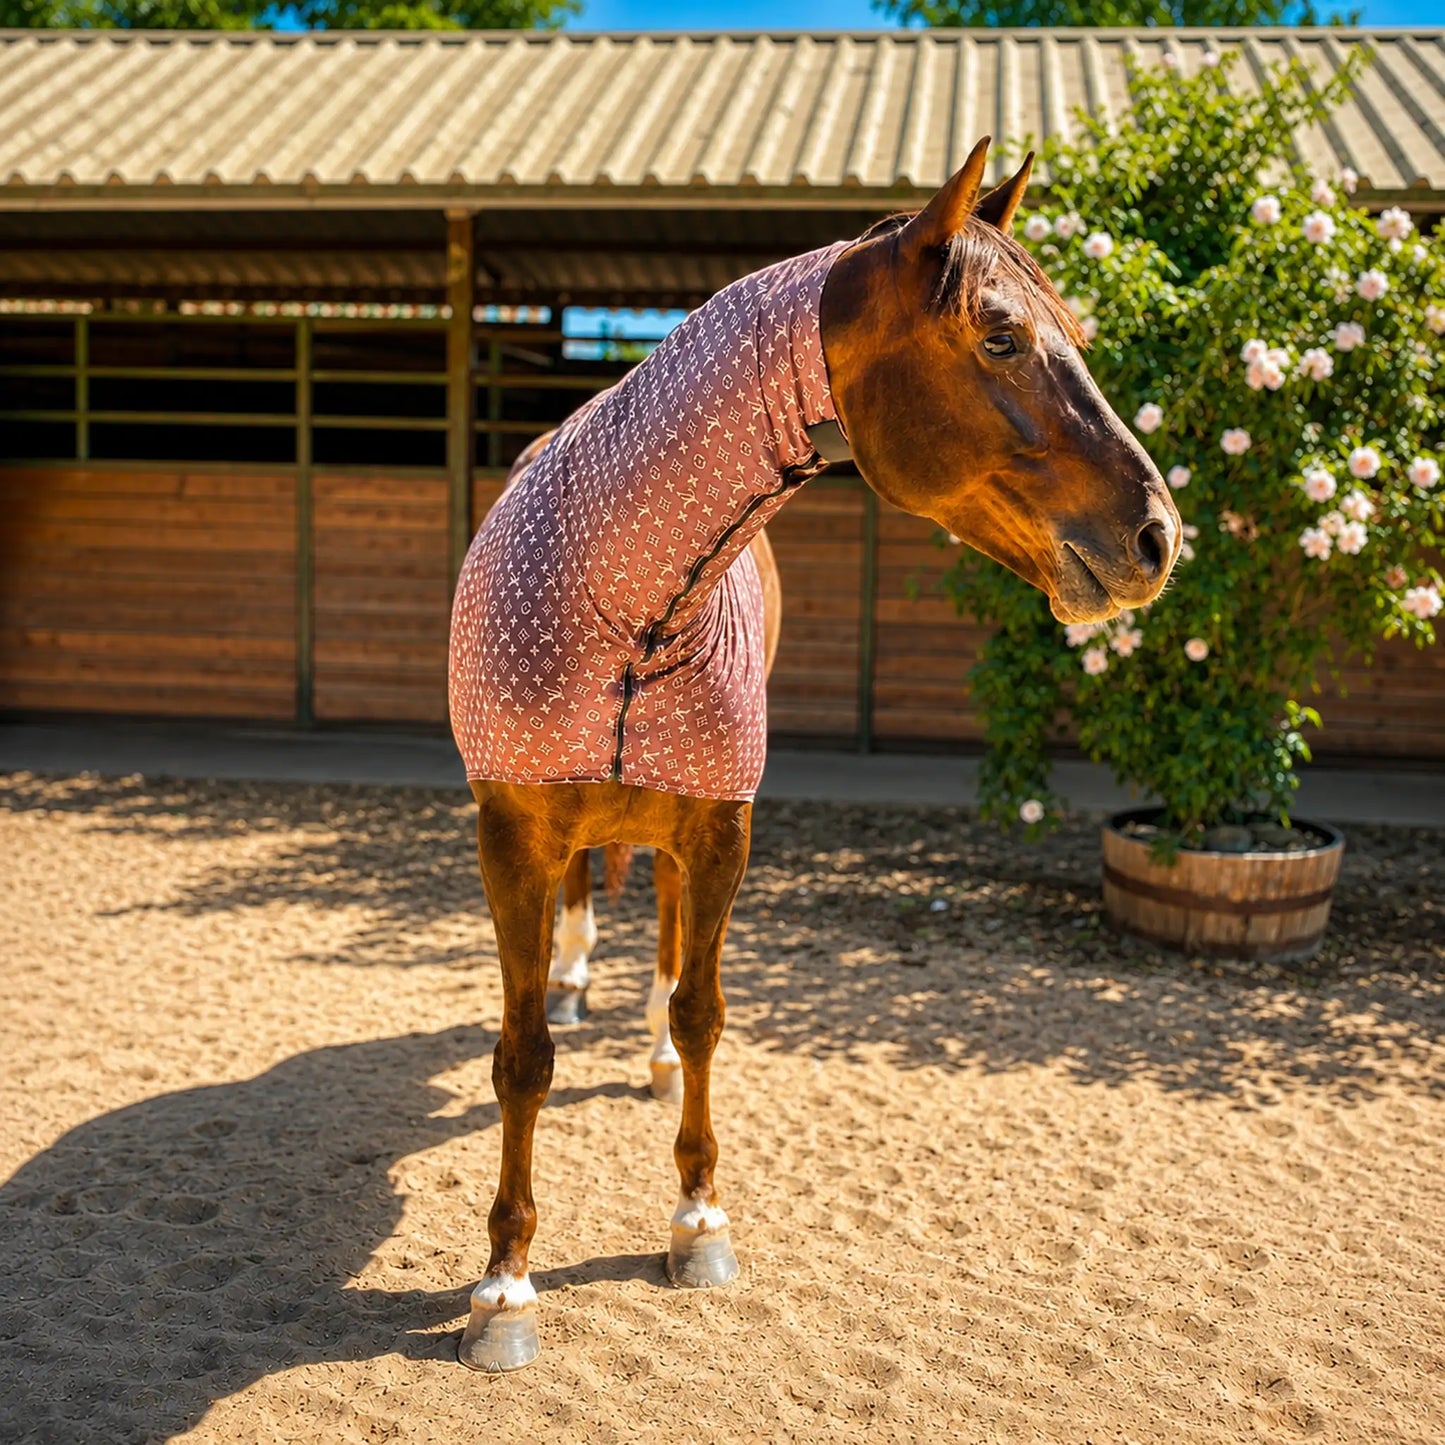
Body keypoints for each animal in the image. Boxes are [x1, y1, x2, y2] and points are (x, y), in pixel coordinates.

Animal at [447, 137, 1181, 1371]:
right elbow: (520, 1056)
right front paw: (504, 1283)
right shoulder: (510, 835)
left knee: (664, 934)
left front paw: (697, 1220)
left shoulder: (721, 825)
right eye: (998, 334)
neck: (627, 606)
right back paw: (579, 980)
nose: (1156, 535)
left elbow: (702, 1012)